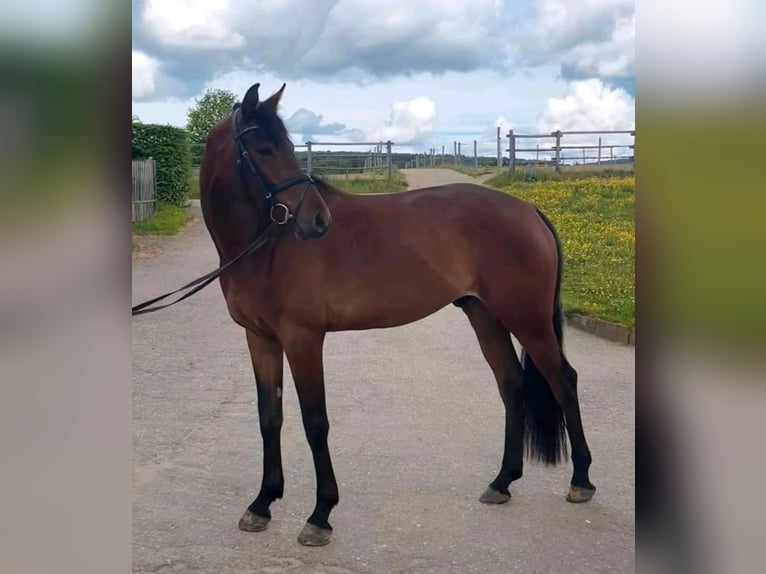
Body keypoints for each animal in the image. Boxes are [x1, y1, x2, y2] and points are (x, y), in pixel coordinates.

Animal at [198, 82, 595, 547]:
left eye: (289, 147)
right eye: (262, 147)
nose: (317, 220)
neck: (268, 247)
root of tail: (529, 211)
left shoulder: (303, 339)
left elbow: (315, 422)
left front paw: (320, 514)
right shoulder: (260, 338)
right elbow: (269, 417)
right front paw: (262, 503)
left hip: (527, 320)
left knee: (563, 381)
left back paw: (581, 481)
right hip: (484, 315)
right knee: (512, 384)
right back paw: (502, 482)